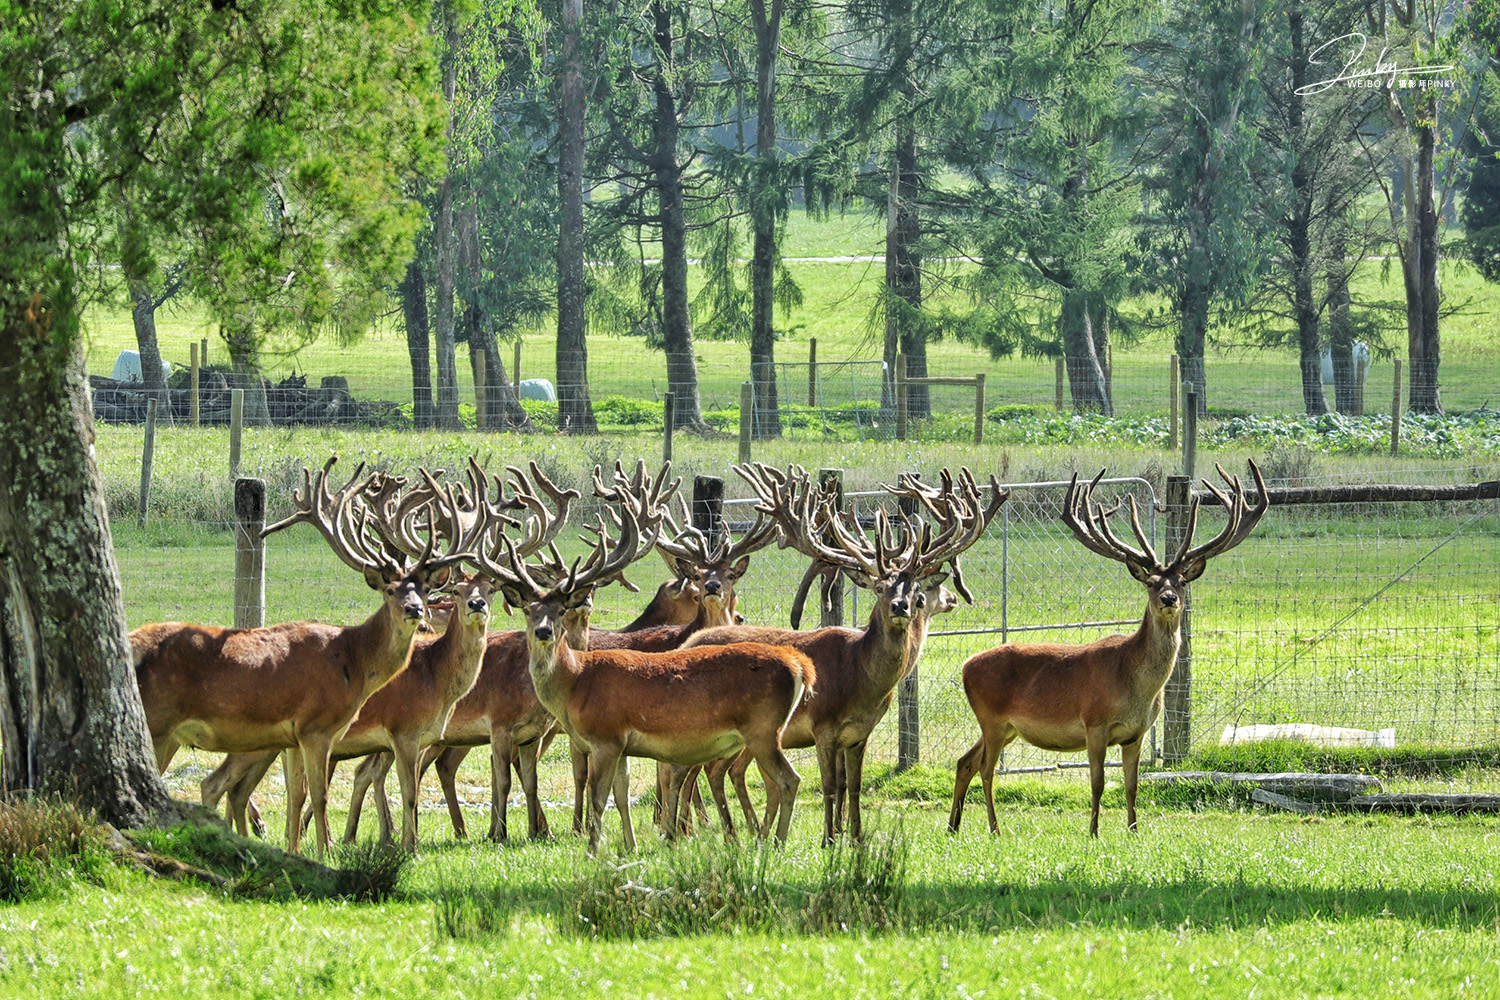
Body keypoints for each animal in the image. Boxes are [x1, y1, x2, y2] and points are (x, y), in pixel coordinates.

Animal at [948, 461, 1266, 839]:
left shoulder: (1136, 733)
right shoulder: (1094, 722)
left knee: (964, 761)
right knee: (986, 769)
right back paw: (995, 829)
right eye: (1151, 582)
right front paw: (1094, 832)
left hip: (1004, 727)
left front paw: (1134, 831)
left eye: (1181, 581)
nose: (1168, 599)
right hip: (992, 718)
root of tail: (966, 665)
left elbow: (1132, 785)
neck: (1134, 687)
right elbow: (1097, 783)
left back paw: (953, 826)